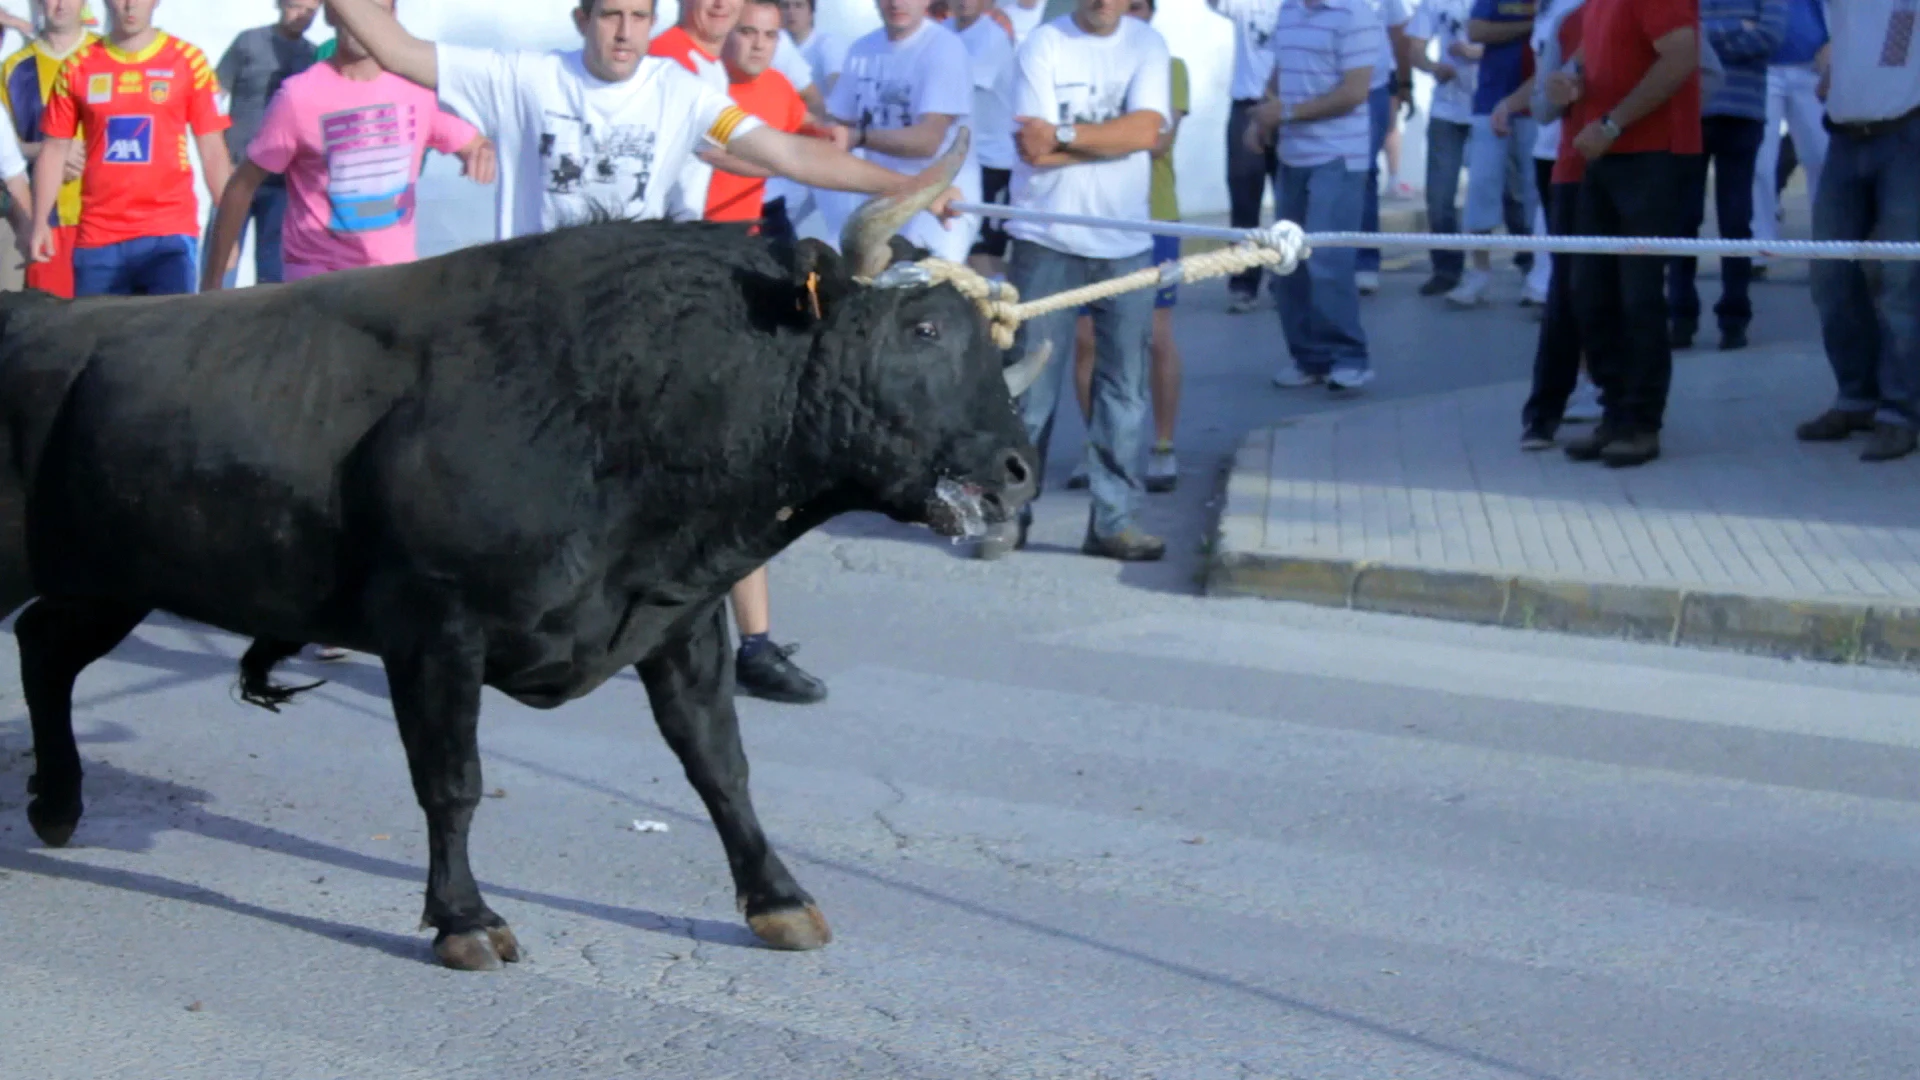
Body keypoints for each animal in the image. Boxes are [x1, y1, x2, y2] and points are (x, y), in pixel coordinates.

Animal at [0, 130, 1052, 960]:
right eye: (922, 328)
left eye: (993, 344)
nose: (1018, 471)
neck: (618, 400)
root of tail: (40, 311)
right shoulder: (436, 631)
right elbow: (453, 782)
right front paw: (464, 918)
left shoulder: (681, 622)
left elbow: (720, 765)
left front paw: (779, 898)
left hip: (116, 576)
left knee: (46, 645)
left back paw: (57, 802)